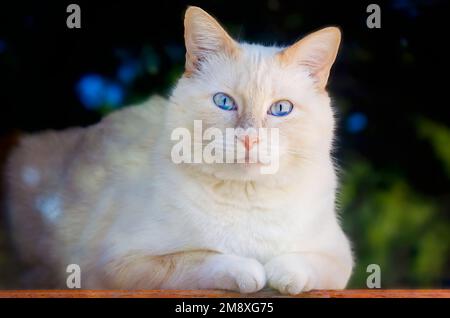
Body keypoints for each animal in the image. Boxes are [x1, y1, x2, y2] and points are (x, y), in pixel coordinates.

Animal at [4, 6, 356, 294]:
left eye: (281, 109)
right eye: (224, 102)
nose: (249, 139)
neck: (247, 196)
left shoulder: (339, 256)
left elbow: (301, 266)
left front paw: (279, 274)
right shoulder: (118, 264)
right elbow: (201, 259)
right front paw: (251, 270)